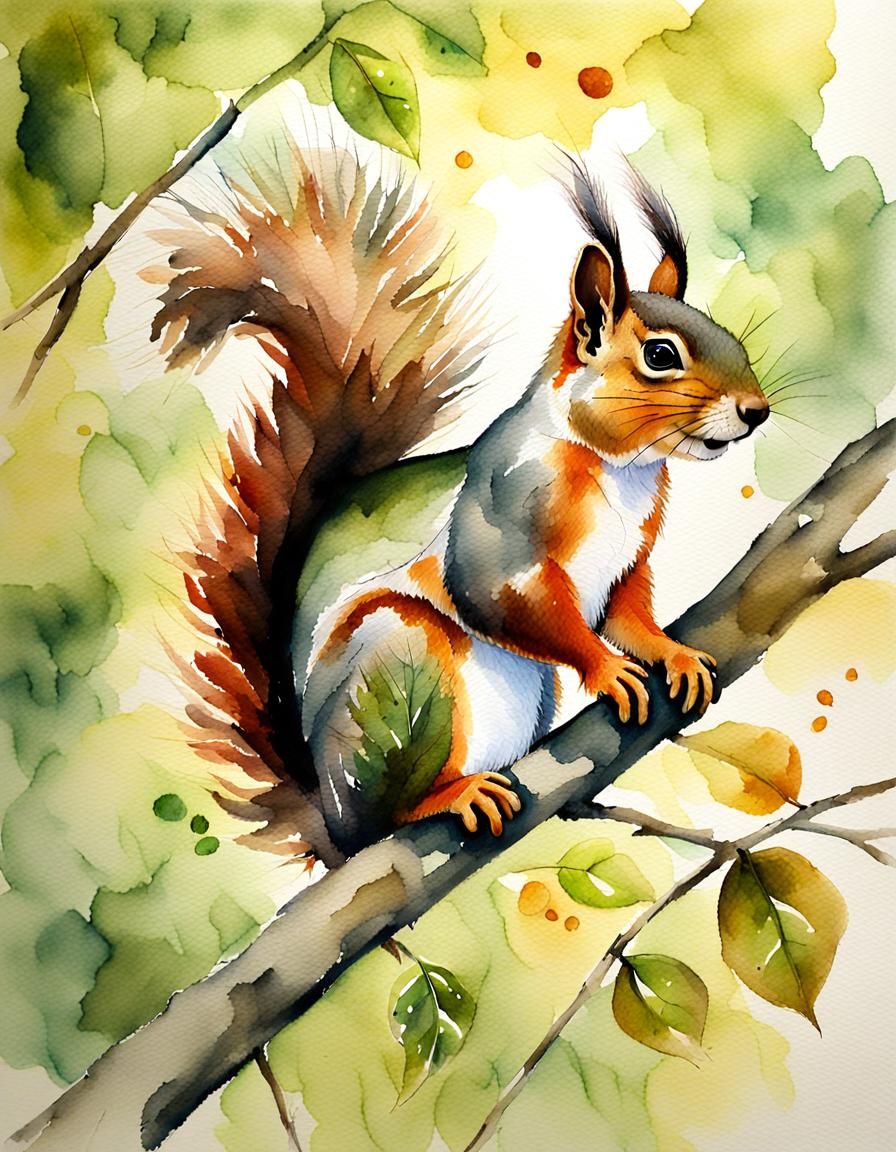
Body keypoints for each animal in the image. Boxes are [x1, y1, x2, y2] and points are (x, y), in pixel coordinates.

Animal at [147, 134, 769, 861]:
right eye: (662, 356)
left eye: (729, 337)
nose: (755, 411)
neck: (618, 468)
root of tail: (327, 820)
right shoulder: (501, 508)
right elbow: (494, 593)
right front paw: (606, 668)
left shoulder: (628, 559)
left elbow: (628, 613)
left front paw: (669, 654)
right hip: (395, 666)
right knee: (384, 813)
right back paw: (449, 796)